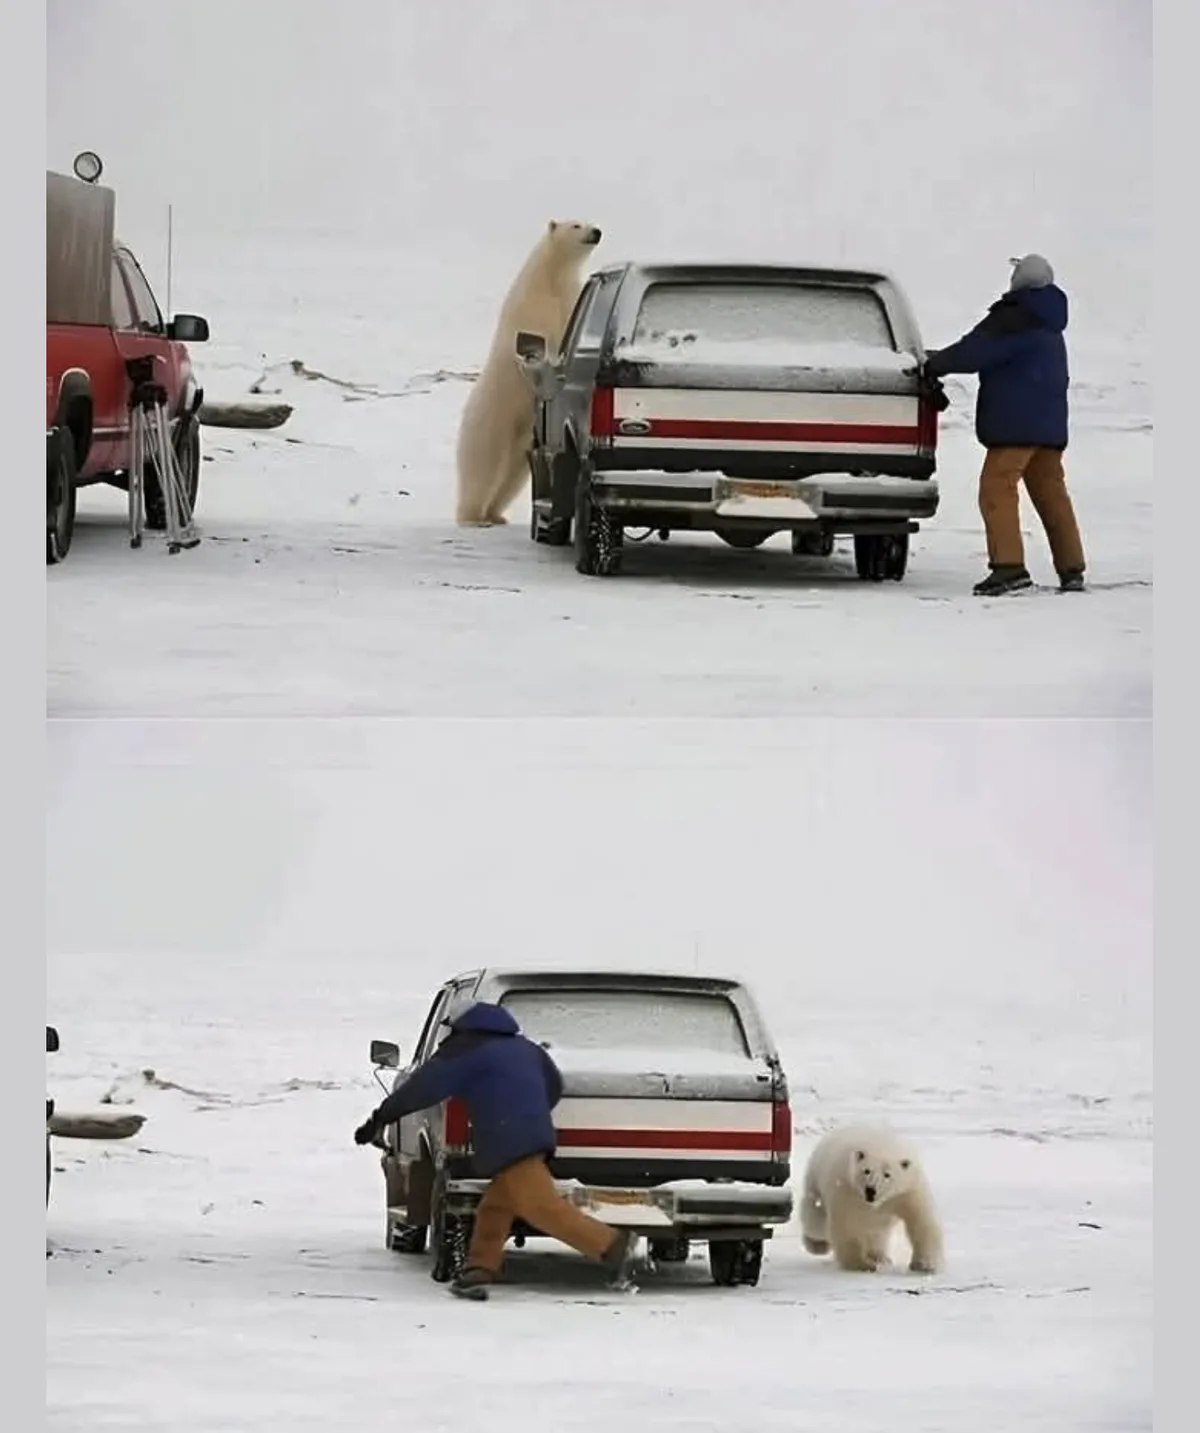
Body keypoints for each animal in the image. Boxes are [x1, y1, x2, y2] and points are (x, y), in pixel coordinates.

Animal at [454, 219, 602, 528]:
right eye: (576, 224)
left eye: (590, 222)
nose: (596, 232)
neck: (551, 276)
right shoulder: (533, 304)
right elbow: (540, 336)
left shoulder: (568, 296)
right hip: (491, 421)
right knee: (484, 467)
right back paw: (473, 517)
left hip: (523, 439)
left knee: (513, 475)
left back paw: (495, 514)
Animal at [799, 1124, 944, 1275]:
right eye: (866, 1170)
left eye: (887, 1174)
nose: (870, 1190)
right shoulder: (847, 1189)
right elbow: (847, 1225)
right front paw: (862, 1264)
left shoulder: (908, 1191)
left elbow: (922, 1222)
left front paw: (925, 1265)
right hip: (814, 1182)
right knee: (815, 1219)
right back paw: (817, 1244)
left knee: (876, 1232)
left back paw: (880, 1257)